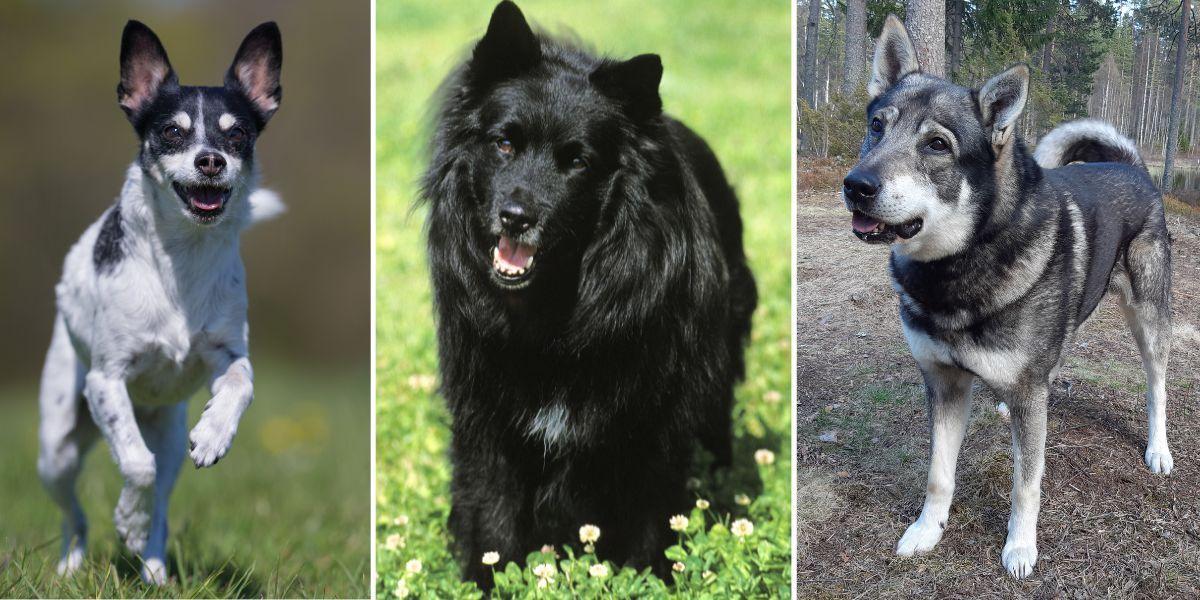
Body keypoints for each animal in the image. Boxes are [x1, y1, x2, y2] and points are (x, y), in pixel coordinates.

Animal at [35, 21, 283, 583]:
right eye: (172, 132)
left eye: (237, 135)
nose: (210, 160)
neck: (181, 259)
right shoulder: (106, 380)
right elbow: (134, 463)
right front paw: (127, 516)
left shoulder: (227, 354)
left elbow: (242, 384)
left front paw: (214, 434)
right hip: (57, 450)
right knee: (76, 513)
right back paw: (73, 562)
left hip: (168, 438)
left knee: (164, 504)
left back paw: (152, 568)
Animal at [422, 3, 753, 585]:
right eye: (504, 143)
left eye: (577, 161)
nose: (515, 217)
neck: (556, 309)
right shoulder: (487, 421)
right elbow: (492, 519)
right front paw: (487, 584)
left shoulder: (654, 424)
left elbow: (652, 520)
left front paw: (651, 582)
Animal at [849, 14, 1176, 576]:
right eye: (877, 126)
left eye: (937, 145)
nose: (856, 186)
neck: (957, 267)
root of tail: (1133, 165)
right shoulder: (944, 384)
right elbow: (938, 473)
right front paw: (926, 530)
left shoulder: (1020, 400)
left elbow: (1027, 483)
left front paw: (1021, 547)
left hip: (1148, 321)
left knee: (1156, 387)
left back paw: (1159, 449)